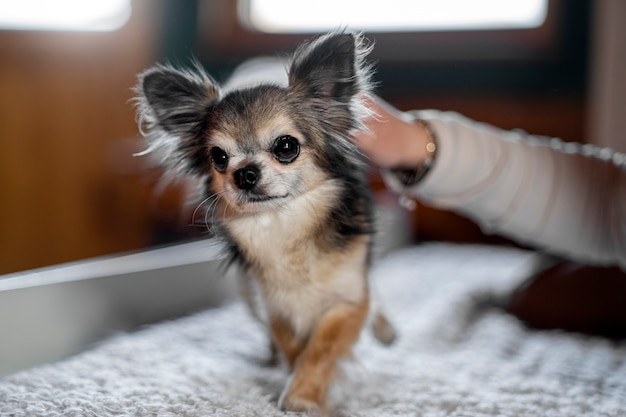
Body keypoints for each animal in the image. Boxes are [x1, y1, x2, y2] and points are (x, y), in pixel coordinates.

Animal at [135, 31, 392, 412]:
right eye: (218, 157)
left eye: (286, 146)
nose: (243, 173)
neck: (282, 225)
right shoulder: (274, 306)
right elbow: (294, 347)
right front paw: (295, 380)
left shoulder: (348, 300)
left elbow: (321, 348)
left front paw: (303, 397)